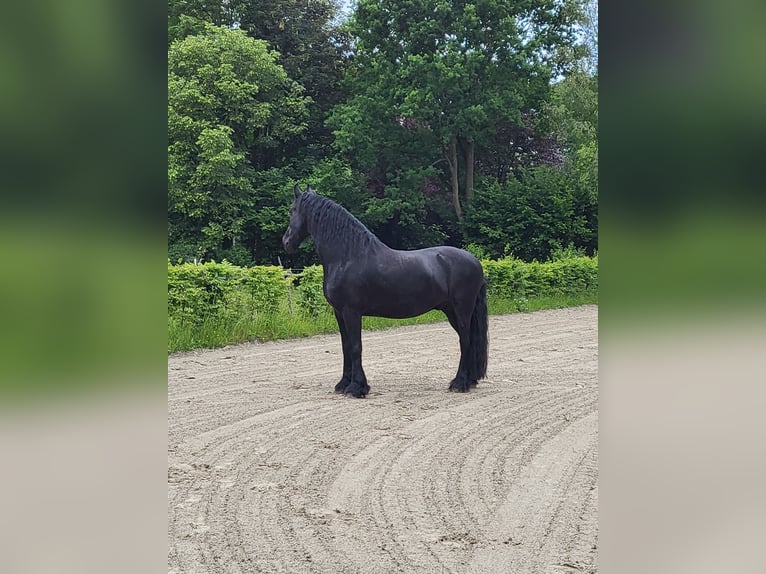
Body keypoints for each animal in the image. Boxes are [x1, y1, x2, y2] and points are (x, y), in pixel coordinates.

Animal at [282, 184, 488, 398]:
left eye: (292, 209)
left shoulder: (351, 312)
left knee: (465, 341)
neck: (347, 257)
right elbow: (345, 347)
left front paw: (357, 387)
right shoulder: (339, 312)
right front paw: (343, 384)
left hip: (461, 310)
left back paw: (459, 383)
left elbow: (355, 347)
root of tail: (475, 262)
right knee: (469, 341)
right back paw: (469, 381)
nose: (286, 242)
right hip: (451, 311)